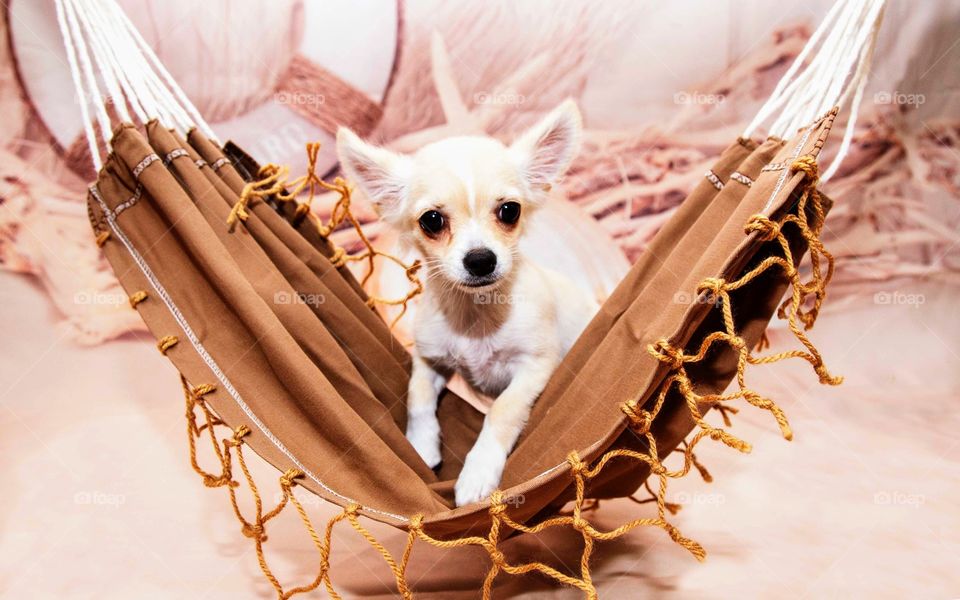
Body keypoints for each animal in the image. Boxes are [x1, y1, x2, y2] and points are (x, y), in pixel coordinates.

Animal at [336, 101, 592, 504]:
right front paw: (422, 445)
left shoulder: (536, 366)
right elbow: (417, 395)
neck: (476, 314)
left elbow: (502, 410)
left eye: (510, 211)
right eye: (431, 220)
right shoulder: (430, 358)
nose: (481, 259)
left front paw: (477, 473)